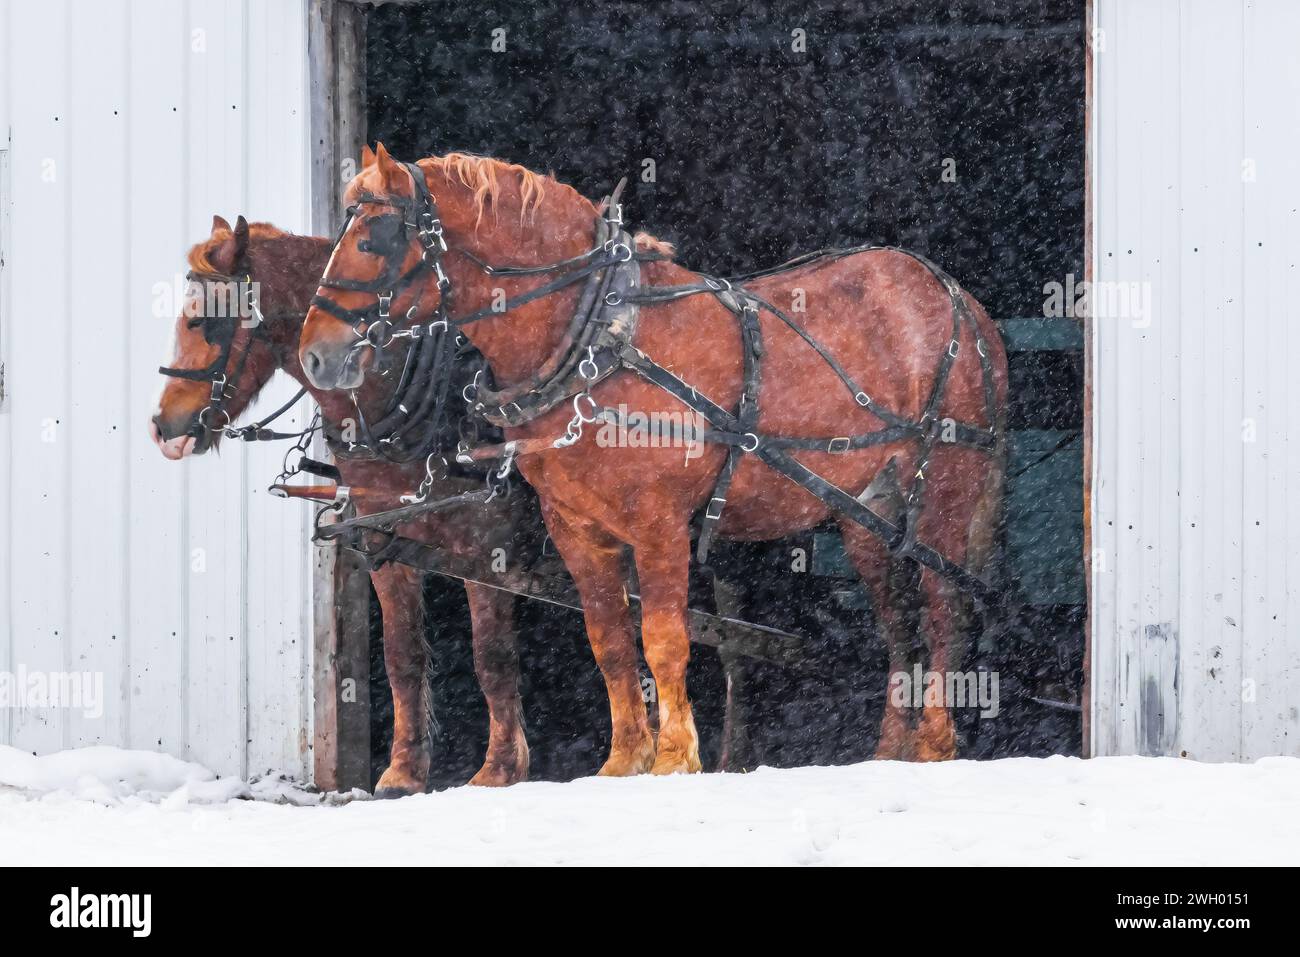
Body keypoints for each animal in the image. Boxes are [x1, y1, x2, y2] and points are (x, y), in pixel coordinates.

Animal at [150, 214, 533, 790]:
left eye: (199, 322)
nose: (161, 427)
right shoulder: (383, 537)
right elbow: (402, 655)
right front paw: (403, 771)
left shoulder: (487, 537)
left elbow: (493, 655)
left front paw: (501, 769)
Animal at [301, 149, 1003, 774]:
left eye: (374, 239)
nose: (315, 356)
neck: (599, 338)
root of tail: (959, 300)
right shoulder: (577, 529)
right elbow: (610, 641)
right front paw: (624, 759)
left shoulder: (659, 525)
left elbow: (665, 639)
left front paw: (674, 757)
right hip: (866, 513)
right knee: (898, 619)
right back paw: (891, 749)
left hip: (944, 488)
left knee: (943, 606)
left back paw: (934, 743)